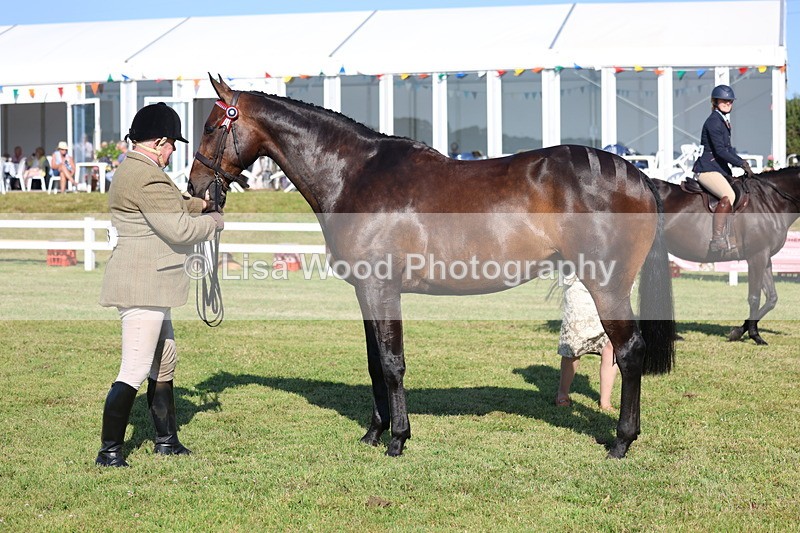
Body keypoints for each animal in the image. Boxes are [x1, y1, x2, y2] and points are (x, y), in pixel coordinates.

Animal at [188, 76, 676, 459]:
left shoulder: (382, 288)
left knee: (630, 350)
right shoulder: (365, 292)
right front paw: (373, 433)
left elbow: (392, 362)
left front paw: (398, 439)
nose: (195, 187)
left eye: (211, 127)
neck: (354, 174)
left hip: (607, 285)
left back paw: (621, 441)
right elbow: (374, 363)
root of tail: (637, 176)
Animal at [654, 169, 800, 345]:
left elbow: (771, 299)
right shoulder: (757, 256)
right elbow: (754, 298)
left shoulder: (765, 257)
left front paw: (737, 332)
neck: (770, 201)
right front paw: (755, 336)